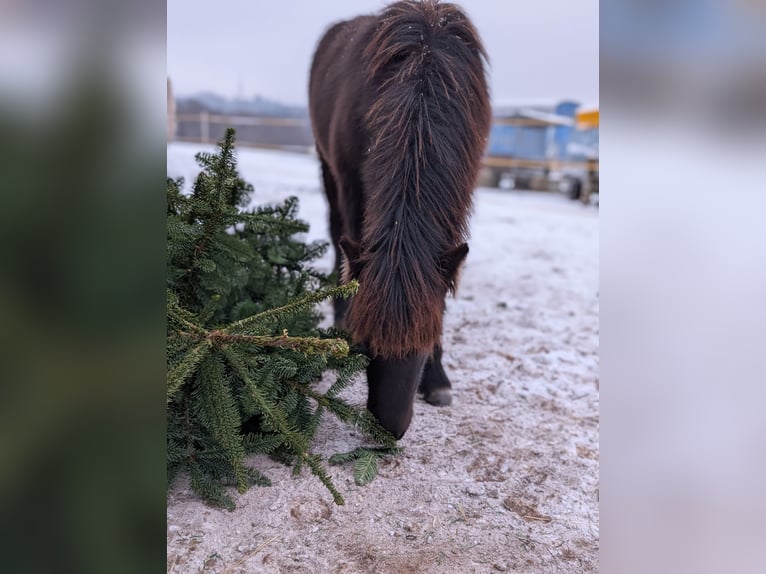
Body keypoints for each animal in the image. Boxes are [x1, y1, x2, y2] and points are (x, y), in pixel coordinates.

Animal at [308, 0, 490, 439]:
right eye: (366, 344)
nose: (387, 429)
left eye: (425, 340)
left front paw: (438, 380)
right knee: (336, 233)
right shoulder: (351, 181)